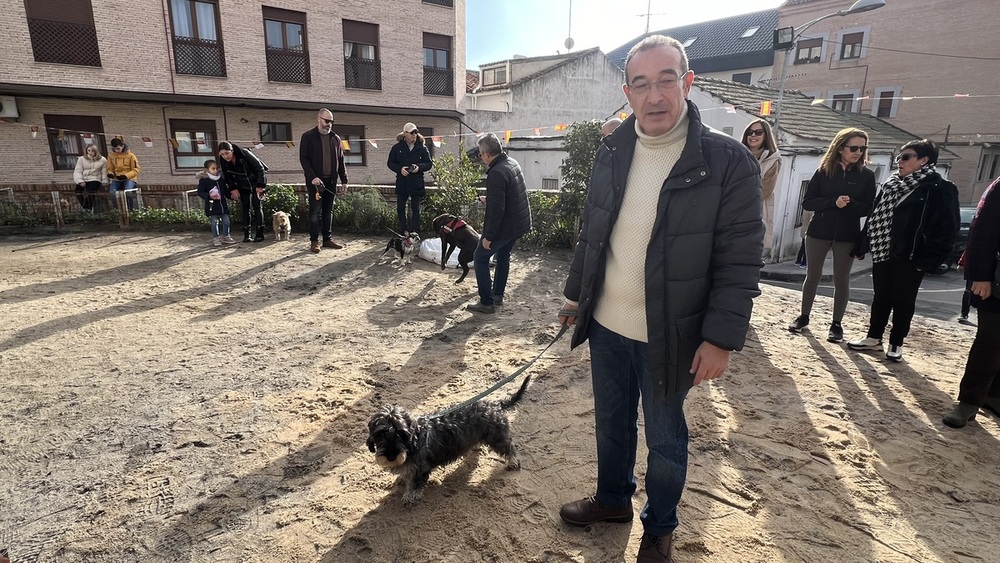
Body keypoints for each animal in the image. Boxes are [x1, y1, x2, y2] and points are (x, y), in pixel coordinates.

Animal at [364, 376, 528, 504]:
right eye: (379, 435)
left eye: (401, 433)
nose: (391, 457)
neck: (414, 441)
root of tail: (494, 405)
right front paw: (401, 479)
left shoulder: (419, 470)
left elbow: (415, 484)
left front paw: (410, 497)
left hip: (497, 438)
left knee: (509, 448)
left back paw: (513, 462)